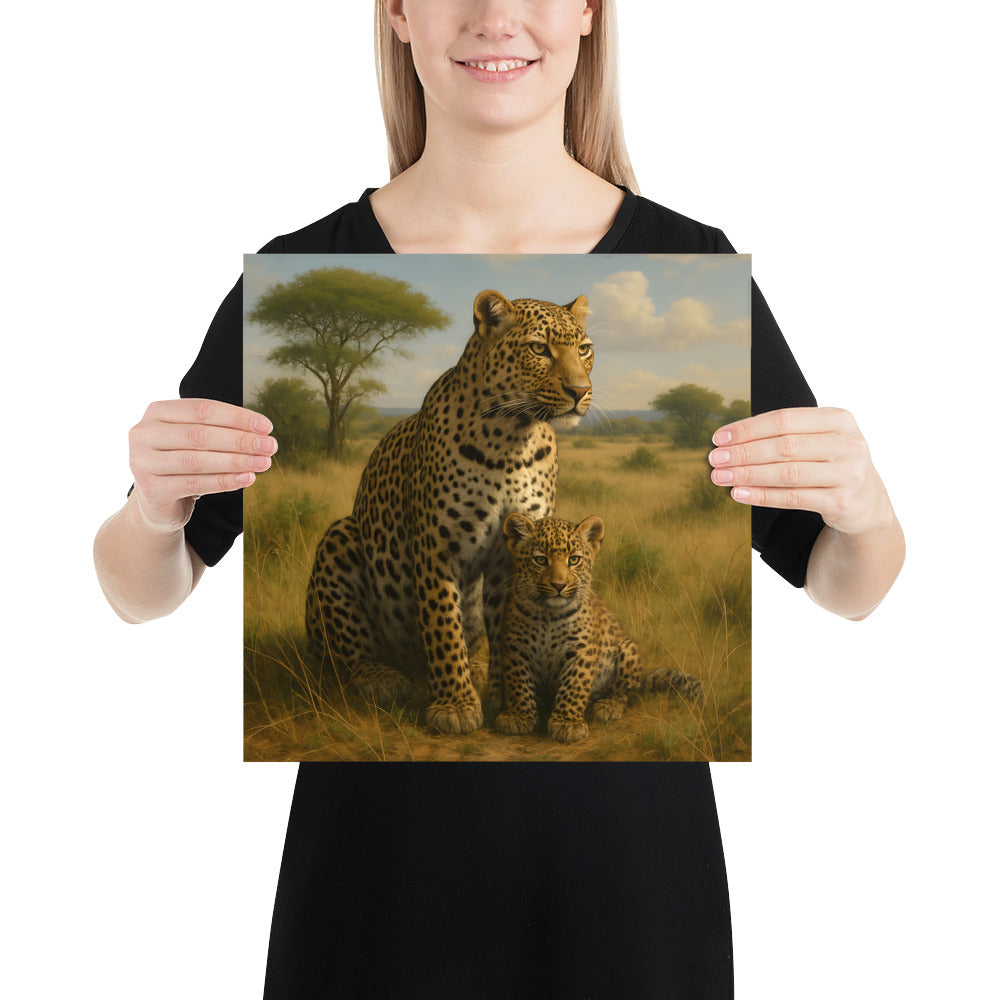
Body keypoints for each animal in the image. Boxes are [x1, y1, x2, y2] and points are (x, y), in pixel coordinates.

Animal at [305, 289, 594, 735]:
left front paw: (503, 696)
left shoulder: (511, 554)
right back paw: (381, 677)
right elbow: (443, 626)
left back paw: (476, 670)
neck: (512, 440)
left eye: (584, 350)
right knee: (345, 652)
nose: (580, 390)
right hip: (341, 539)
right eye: (538, 349)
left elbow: (506, 626)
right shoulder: (436, 548)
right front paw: (456, 707)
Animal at [496, 513, 704, 743]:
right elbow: (518, 683)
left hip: (627, 648)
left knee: (625, 692)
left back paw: (608, 705)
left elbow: (574, 685)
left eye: (574, 560)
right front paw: (518, 716)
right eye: (540, 560)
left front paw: (567, 723)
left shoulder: (582, 650)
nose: (559, 585)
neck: (548, 615)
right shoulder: (515, 647)